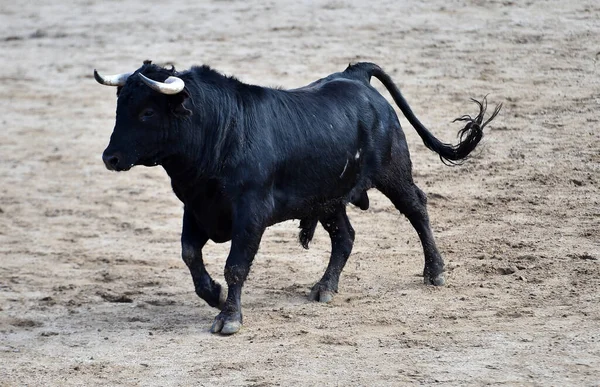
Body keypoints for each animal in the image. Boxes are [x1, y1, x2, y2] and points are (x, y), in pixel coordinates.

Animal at [94, 59, 500, 334]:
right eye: (118, 106)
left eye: (148, 112)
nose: (109, 158)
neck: (220, 131)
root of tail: (356, 75)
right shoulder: (195, 209)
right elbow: (190, 254)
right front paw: (215, 295)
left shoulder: (250, 214)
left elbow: (236, 265)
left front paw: (229, 317)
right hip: (328, 197)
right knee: (345, 236)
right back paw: (325, 287)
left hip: (393, 171)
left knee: (417, 208)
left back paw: (435, 271)